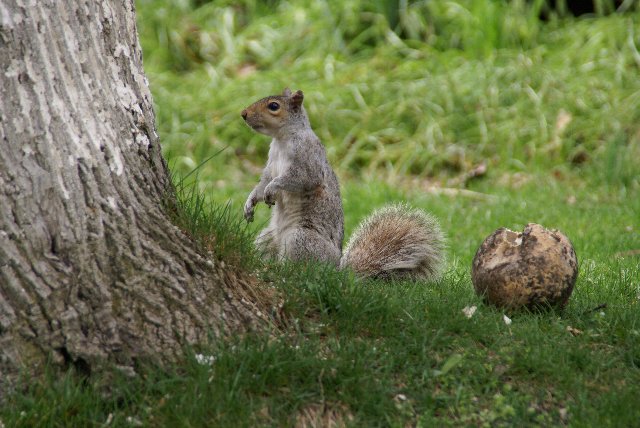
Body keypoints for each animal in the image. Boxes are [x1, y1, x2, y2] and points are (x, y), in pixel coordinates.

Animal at [240, 87, 444, 280]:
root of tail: (335, 270)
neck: (282, 139)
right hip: (268, 238)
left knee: (303, 269)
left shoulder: (308, 160)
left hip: (300, 238)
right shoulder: (271, 164)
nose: (243, 113)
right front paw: (250, 203)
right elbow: (262, 183)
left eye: (274, 106)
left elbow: (299, 179)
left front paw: (272, 188)